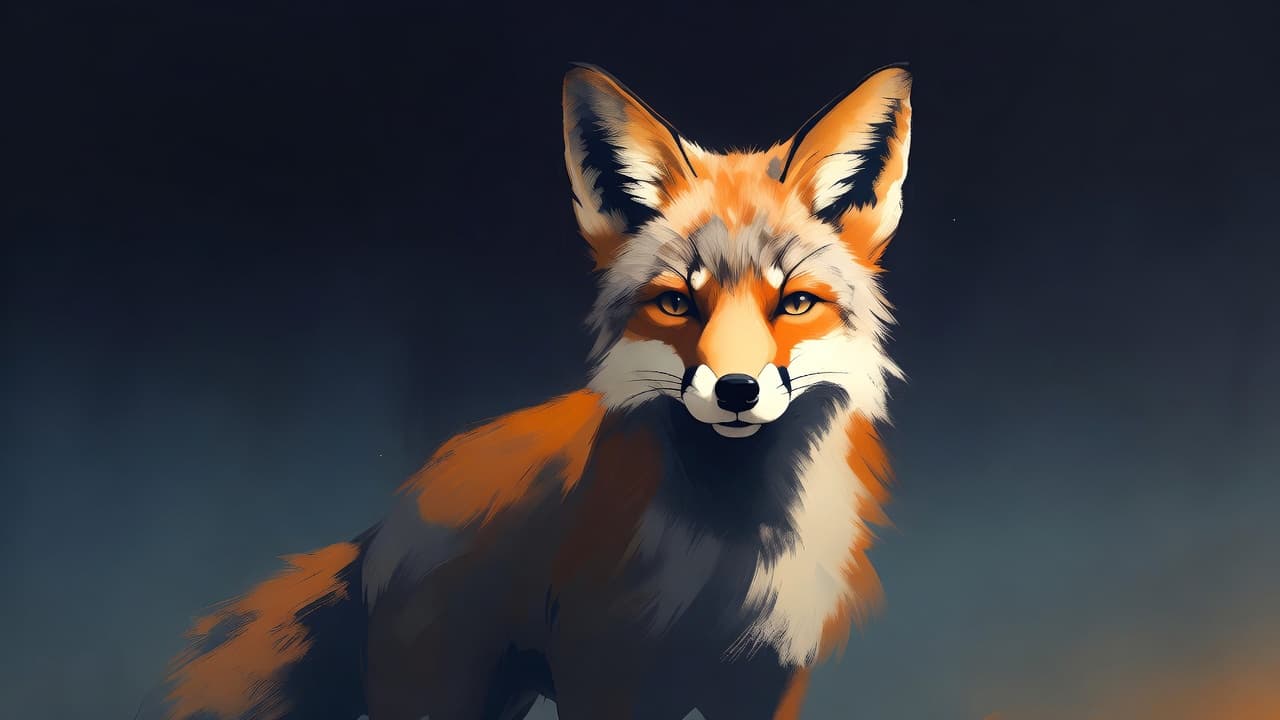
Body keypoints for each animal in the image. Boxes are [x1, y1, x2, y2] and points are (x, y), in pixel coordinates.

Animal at [138, 61, 913, 720]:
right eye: (676, 304)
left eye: (795, 303)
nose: (736, 390)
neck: (725, 552)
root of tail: (391, 518)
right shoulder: (606, 672)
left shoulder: (769, 678)